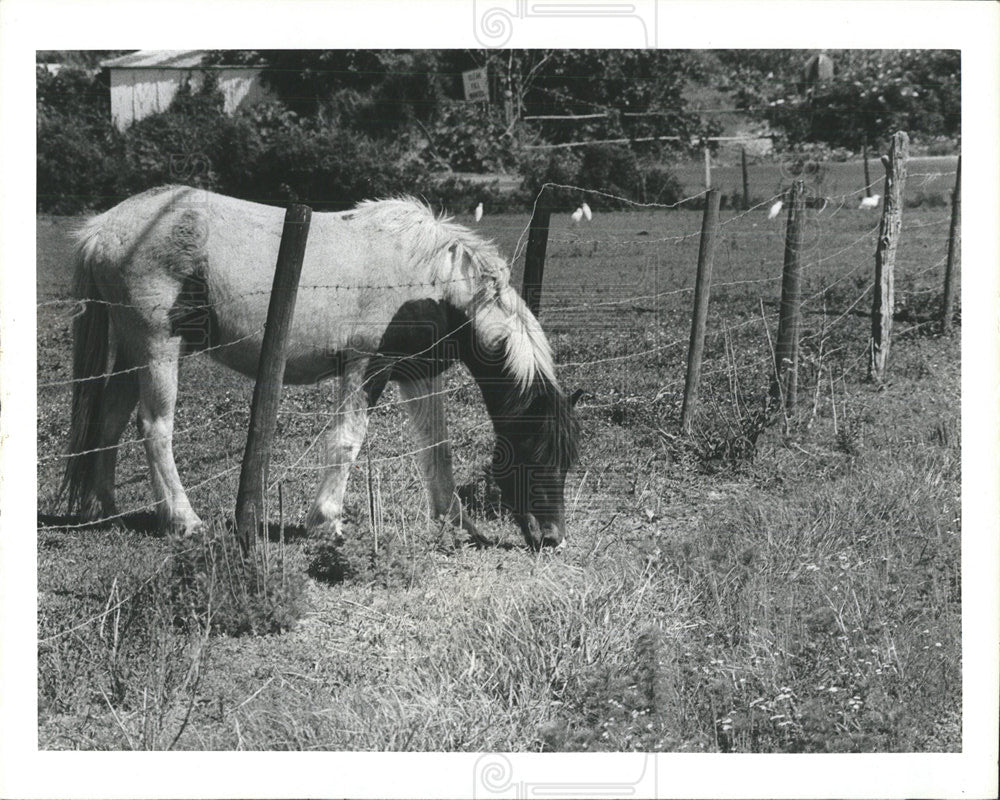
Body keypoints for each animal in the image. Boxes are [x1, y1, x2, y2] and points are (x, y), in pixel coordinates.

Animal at [62, 188, 580, 552]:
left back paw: (102, 509)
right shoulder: (366, 367)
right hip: (157, 347)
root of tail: (102, 228)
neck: (433, 283)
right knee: (154, 429)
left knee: (109, 419)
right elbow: (348, 441)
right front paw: (327, 522)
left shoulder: (417, 373)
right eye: (531, 450)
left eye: (565, 458)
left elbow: (437, 448)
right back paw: (185, 521)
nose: (553, 537)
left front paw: (458, 525)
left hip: (133, 352)